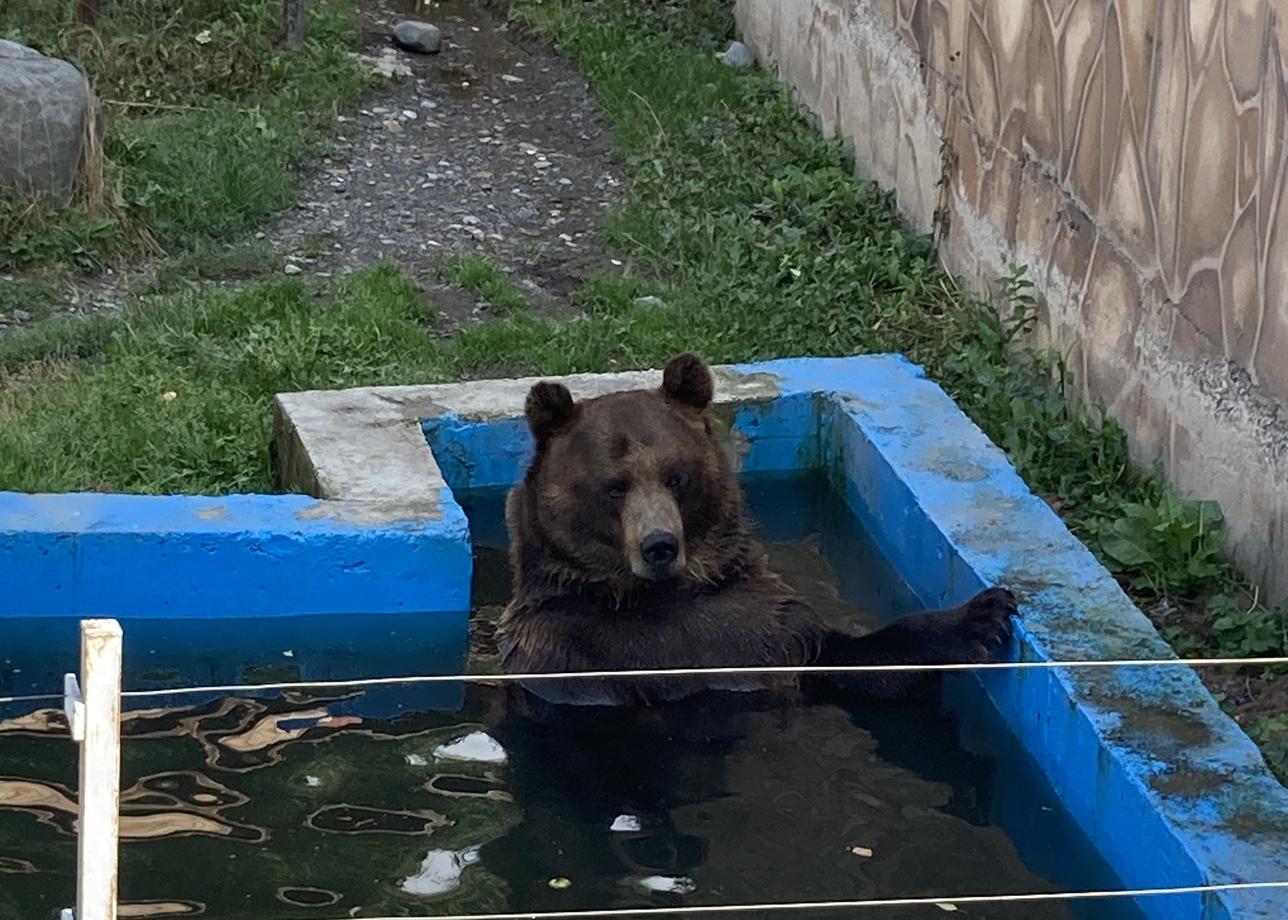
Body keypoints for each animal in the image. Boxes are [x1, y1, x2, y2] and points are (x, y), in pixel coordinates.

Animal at [499, 350, 1014, 700]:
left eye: (676, 476)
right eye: (614, 486)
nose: (659, 545)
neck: (655, 596)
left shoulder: (762, 628)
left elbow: (858, 658)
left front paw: (984, 614)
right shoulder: (572, 656)